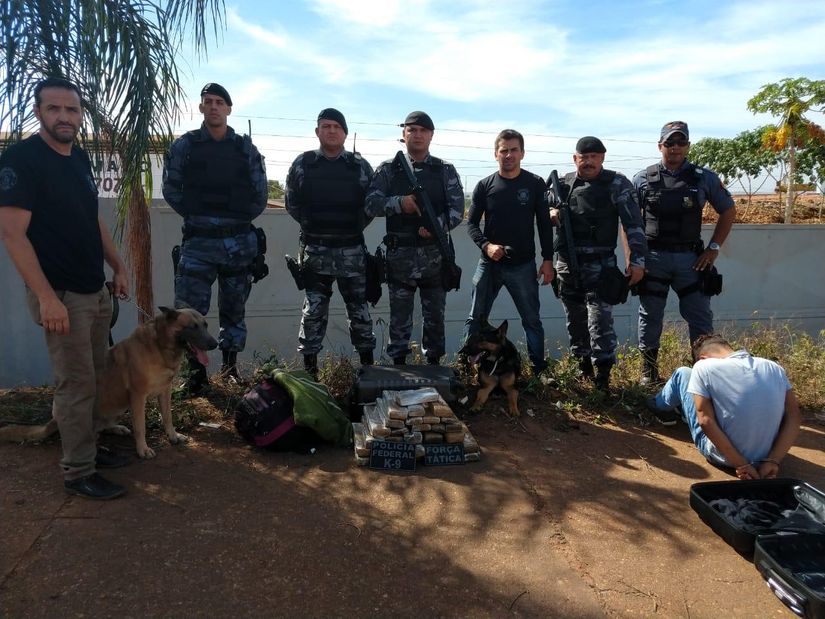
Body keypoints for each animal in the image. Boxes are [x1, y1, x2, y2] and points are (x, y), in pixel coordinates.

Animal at [0, 306, 216, 458]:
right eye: (192, 327)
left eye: (205, 325)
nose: (215, 344)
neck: (160, 346)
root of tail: (53, 420)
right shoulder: (138, 397)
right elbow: (141, 427)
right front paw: (143, 449)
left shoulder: (165, 391)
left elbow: (168, 418)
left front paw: (173, 436)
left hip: (120, 406)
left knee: (106, 425)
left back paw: (116, 428)